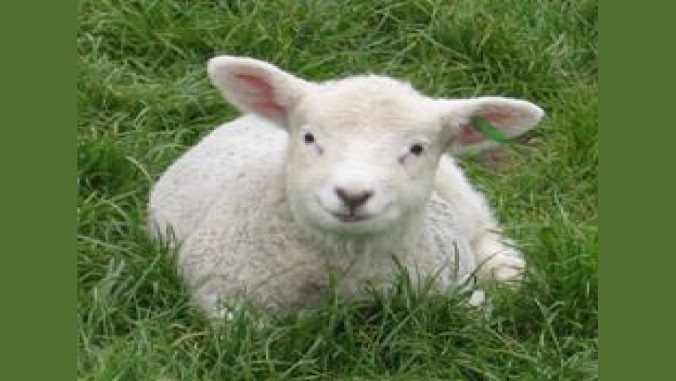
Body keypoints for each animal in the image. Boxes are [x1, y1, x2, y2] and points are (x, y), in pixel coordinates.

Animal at [148, 55, 544, 318]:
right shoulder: (215, 289)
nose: (353, 195)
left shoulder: (448, 283)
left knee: (483, 228)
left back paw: (506, 270)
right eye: (309, 137)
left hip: (456, 190)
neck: (343, 263)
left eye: (417, 149)